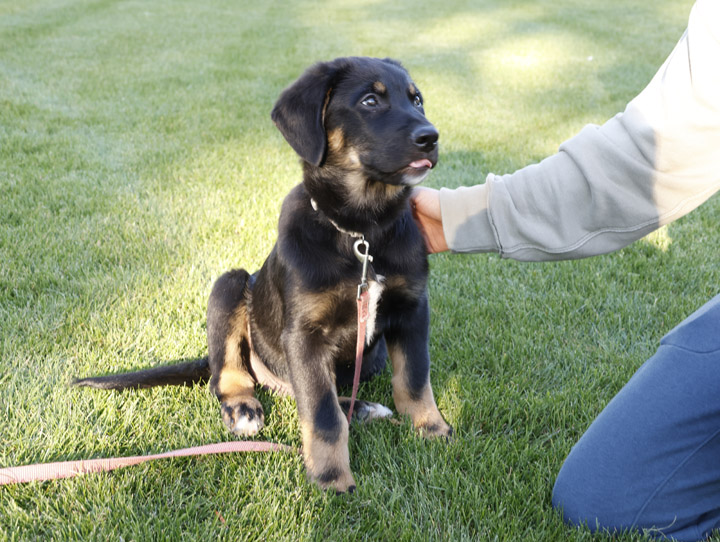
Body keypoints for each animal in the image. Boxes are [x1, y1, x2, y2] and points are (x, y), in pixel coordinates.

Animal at [76, 57, 452, 496]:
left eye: (417, 100)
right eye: (370, 101)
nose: (430, 137)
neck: (363, 234)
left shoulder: (413, 308)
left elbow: (414, 377)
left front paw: (432, 428)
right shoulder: (304, 335)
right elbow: (322, 414)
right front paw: (331, 479)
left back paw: (362, 408)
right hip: (230, 285)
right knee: (231, 377)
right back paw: (245, 407)